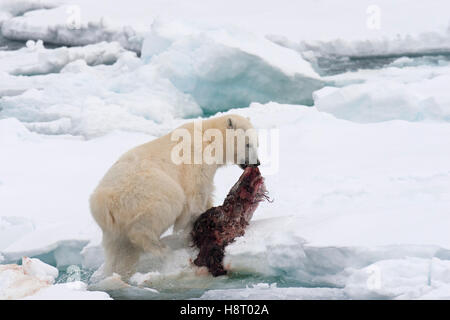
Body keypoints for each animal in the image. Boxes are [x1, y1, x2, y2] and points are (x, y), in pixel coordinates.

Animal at [89, 114, 258, 278]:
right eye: (248, 144)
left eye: (257, 143)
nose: (257, 163)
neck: (208, 138)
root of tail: (103, 203)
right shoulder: (196, 160)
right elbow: (195, 195)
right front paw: (195, 227)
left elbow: (208, 191)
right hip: (146, 189)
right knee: (163, 207)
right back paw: (160, 248)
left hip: (113, 228)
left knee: (119, 251)